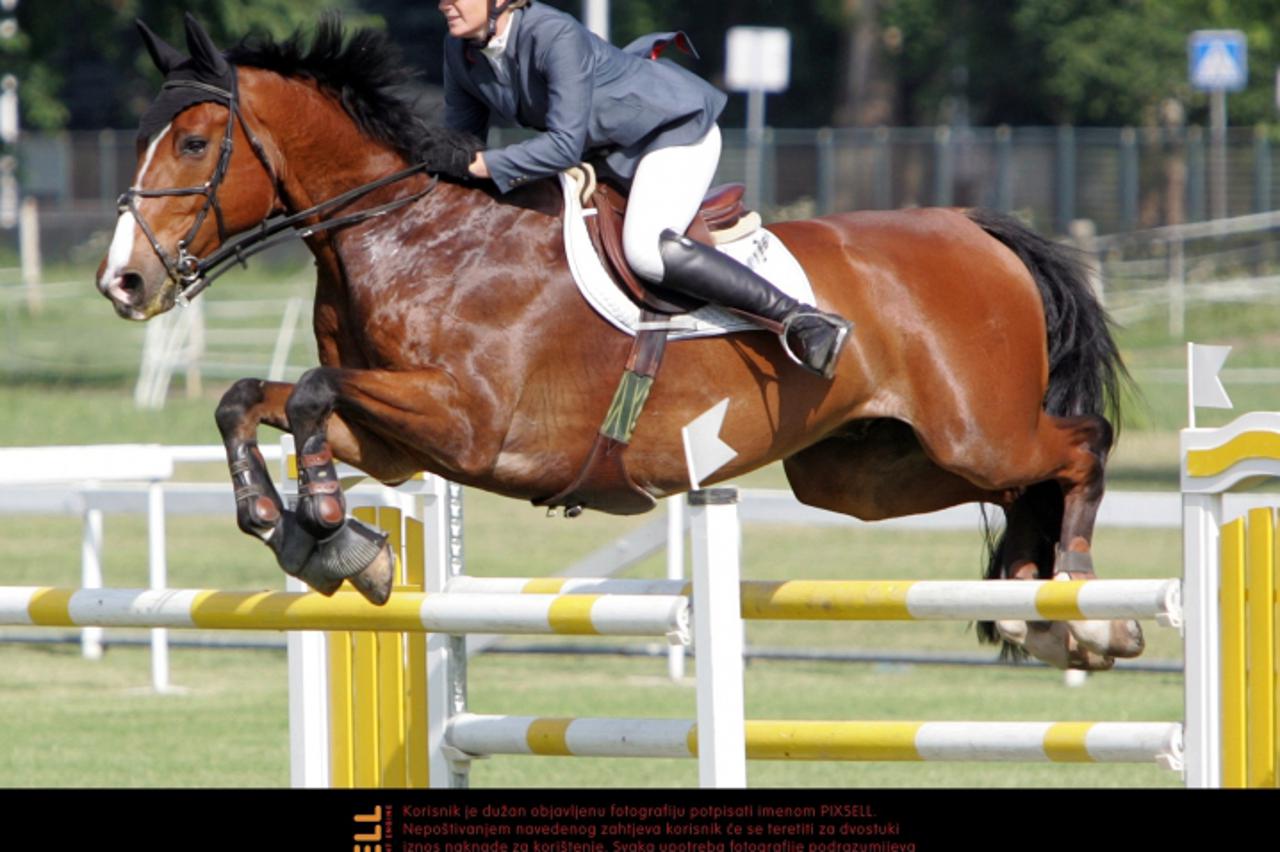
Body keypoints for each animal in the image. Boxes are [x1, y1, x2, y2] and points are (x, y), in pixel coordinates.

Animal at [102, 14, 1141, 670]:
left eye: (192, 143)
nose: (125, 281)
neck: (407, 233)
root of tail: (974, 227)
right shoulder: (401, 443)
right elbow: (249, 398)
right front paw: (309, 535)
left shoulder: (468, 424)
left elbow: (313, 389)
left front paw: (325, 523)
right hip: (868, 470)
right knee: (1020, 489)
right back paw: (1038, 611)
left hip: (977, 429)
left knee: (1081, 450)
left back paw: (1088, 610)